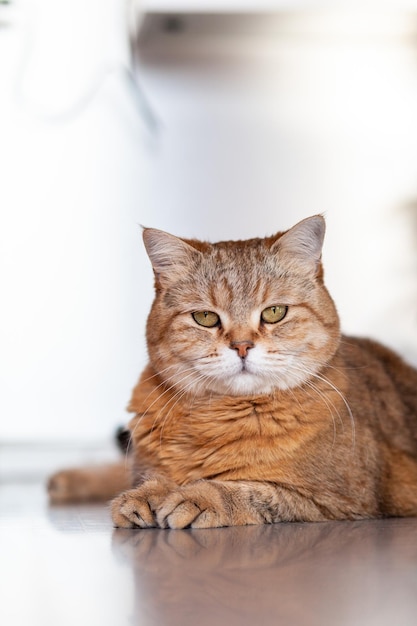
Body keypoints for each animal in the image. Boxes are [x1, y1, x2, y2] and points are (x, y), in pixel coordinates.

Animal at [47, 214, 416, 528]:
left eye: (275, 312)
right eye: (206, 318)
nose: (241, 346)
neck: (216, 417)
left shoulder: (336, 500)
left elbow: (251, 488)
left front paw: (198, 496)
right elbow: (148, 476)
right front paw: (150, 491)